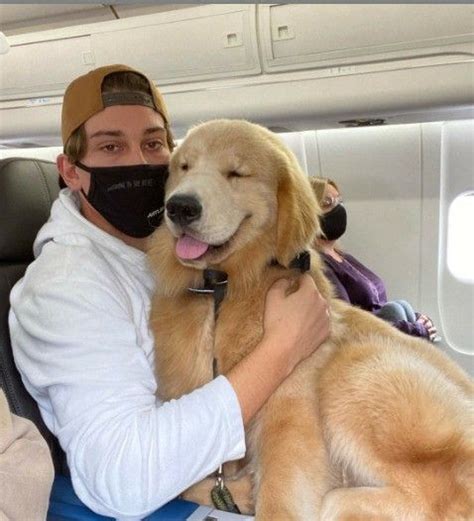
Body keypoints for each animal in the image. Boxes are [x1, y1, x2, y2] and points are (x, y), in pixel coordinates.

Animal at [147, 120, 470, 516]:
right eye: (184, 167)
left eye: (236, 173)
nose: (179, 207)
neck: (222, 285)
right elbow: (183, 482)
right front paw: (237, 490)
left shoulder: (290, 410)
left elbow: (278, 492)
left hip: (353, 367)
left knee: (447, 492)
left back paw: (340, 501)